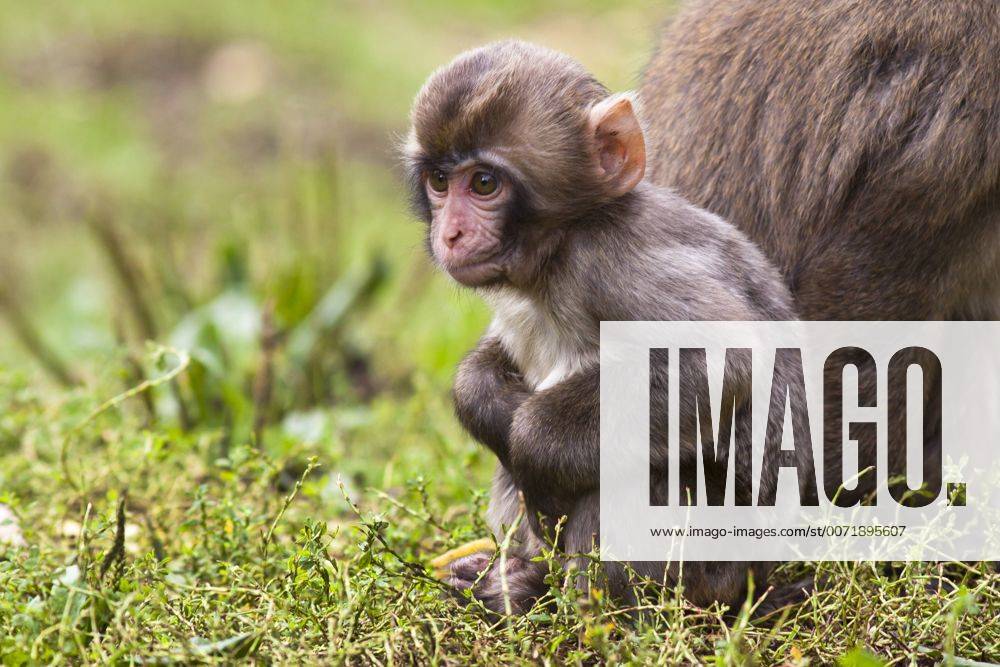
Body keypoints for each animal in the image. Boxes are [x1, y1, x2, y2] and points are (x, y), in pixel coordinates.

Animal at [403, 40, 812, 614]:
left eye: (483, 183)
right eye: (440, 181)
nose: (451, 233)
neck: (556, 251)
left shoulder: (609, 260)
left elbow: (725, 361)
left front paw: (532, 441)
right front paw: (483, 400)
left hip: (712, 562)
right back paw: (518, 579)